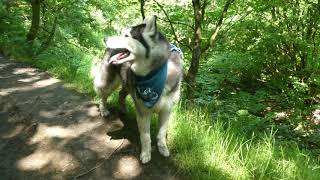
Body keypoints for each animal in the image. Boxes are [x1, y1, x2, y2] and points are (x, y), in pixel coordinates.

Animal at [93, 16, 182, 164]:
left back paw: (122, 108)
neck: (155, 72)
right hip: (110, 82)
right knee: (103, 96)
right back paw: (104, 110)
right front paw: (146, 154)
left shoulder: (166, 110)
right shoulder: (143, 112)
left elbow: (161, 133)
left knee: (121, 94)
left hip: (128, 85)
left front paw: (162, 148)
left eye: (126, 36)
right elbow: (145, 136)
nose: (105, 39)